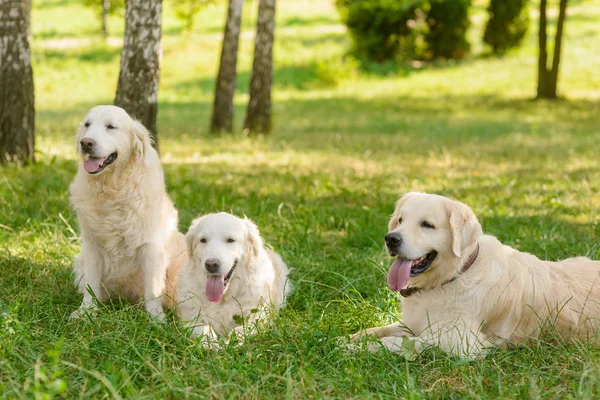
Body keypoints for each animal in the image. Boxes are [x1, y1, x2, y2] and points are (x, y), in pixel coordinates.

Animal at [69, 104, 185, 320]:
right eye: (87, 125)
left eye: (111, 127)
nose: (86, 143)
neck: (112, 189)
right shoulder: (91, 245)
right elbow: (91, 283)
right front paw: (86, 311)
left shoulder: (151, 246)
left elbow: (153, 289)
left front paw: (156, 318)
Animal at [177, 212, 292, 346]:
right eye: (203, 240)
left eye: (230, 240)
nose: (211, 265)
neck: (223, 298)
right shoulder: (189, 318)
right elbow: (204, 329)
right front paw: (212, 344)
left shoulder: (257, 317)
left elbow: (241, 330)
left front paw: (231, 343)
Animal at [350, 192, 600, 358]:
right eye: (400, 220)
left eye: (427, 224)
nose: (391, 238)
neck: (456, 274)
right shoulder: (413, 322)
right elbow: (379, 330)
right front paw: (349, 338)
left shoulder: (461, 342)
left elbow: (397, 341)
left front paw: (351, 348)